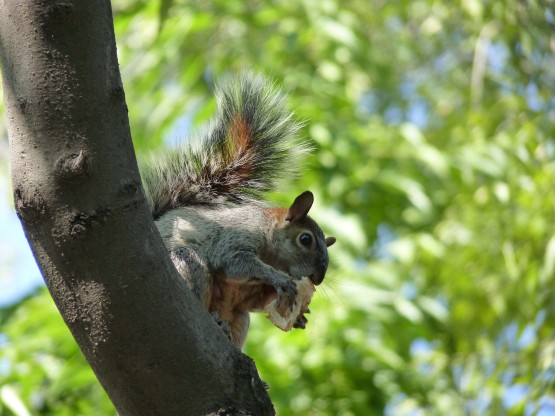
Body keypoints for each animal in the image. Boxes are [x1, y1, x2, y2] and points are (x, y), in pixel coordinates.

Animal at [141, 74, 336, 348]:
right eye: (305, 239)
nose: (318, 278)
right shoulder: (239, 233)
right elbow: (232, 260)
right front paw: (276, 277)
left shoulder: (248, 293)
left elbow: (254, 301)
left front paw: (300, 315)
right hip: (186, 262)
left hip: (239, 318)